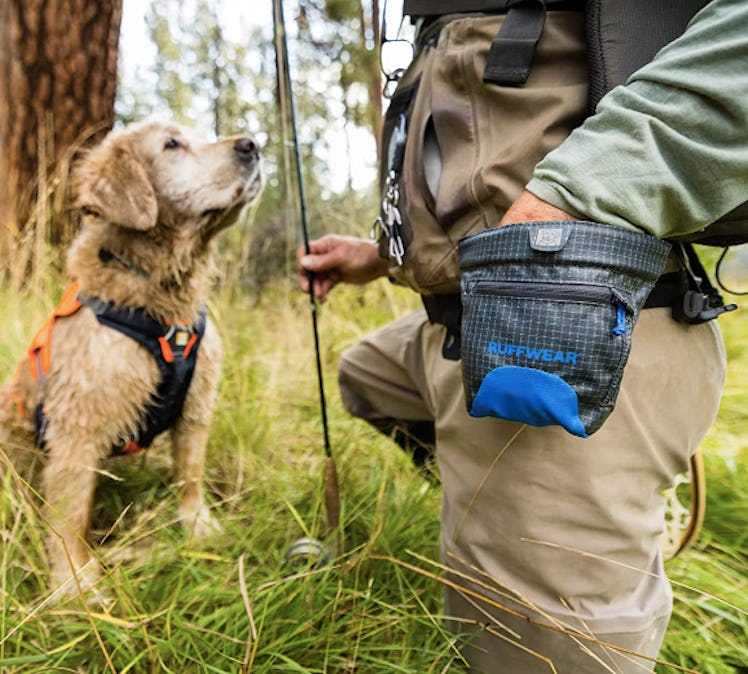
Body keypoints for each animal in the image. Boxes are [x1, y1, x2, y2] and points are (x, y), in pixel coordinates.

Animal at [0, 119, 262, 592]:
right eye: (172, 144)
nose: (253, 145)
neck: (160, 308)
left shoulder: (196, 408)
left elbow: (190, 474)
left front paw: (198, 526)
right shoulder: (78, 428)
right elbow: (70, 518)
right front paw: (75, 586)